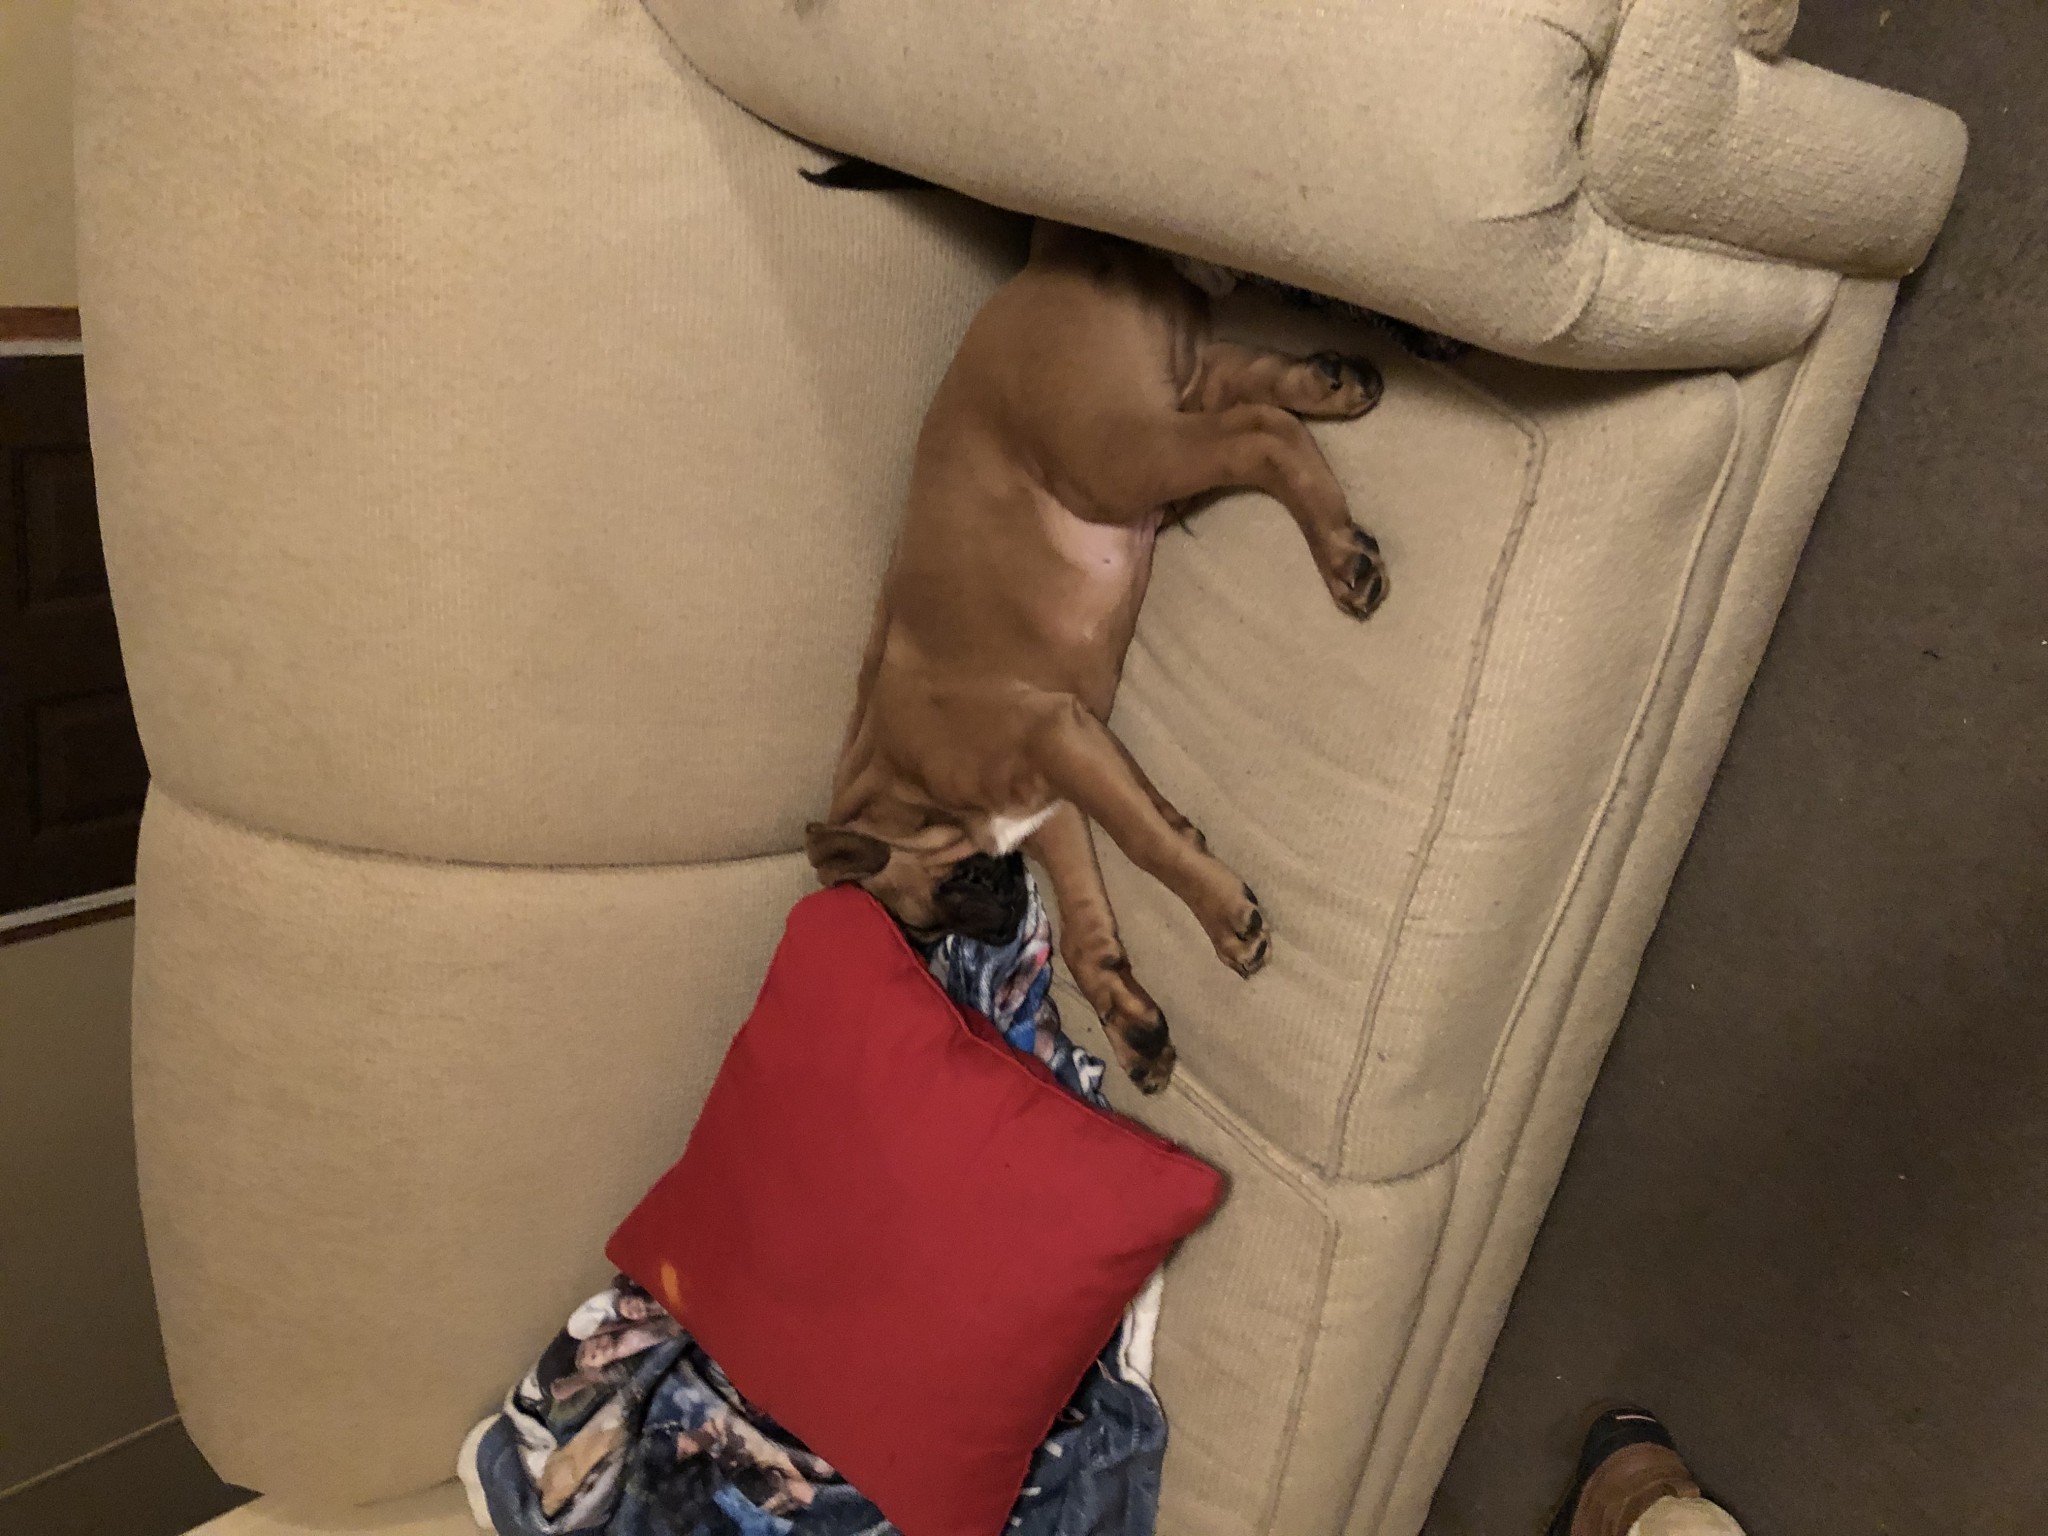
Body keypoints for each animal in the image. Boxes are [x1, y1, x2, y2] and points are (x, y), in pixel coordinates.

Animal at [805, 217, 1388, 1093]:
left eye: (942, 900)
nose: (1003, 923)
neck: (906, 783)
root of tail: (1046, 258)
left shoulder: (1050, 745)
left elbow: (1141, 843)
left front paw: (1218, 910)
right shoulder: (1057, 793)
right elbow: (1091, 917)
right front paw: (1128, 1017)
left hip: (1116, 454)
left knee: (1262, 438)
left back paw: (1340, 552)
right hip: (1171, 404)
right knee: (1254, 389)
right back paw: (1332, 381)